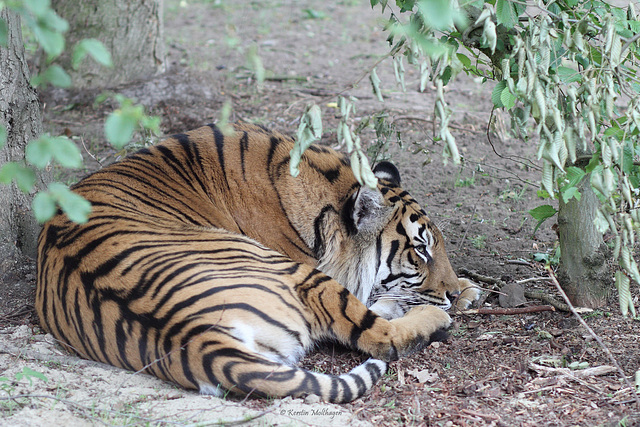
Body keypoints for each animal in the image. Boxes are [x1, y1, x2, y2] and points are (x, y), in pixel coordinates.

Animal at [33, 122, 476, 402]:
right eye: (420, 250)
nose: (452, 294)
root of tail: (199, 338)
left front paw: (468, 289)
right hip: (298, 275)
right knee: (384, 336)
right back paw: (432, 318)